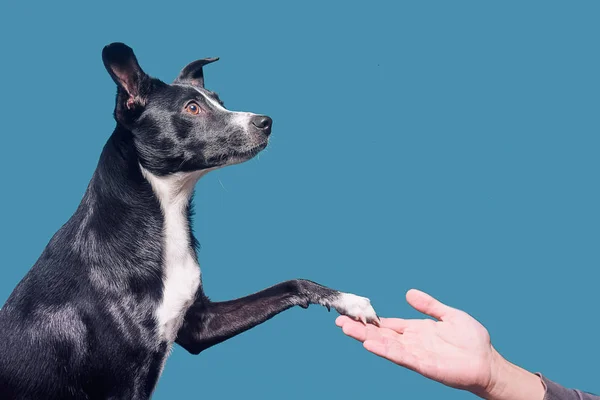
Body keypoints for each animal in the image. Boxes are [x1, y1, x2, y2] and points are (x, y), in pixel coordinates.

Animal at [0, 43, 376, 400]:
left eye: (220, 101)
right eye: (192, 108)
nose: (266, 121)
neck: (163, 214)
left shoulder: (200, 325)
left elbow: (292, 283)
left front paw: (348, 300)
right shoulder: (122, 382)